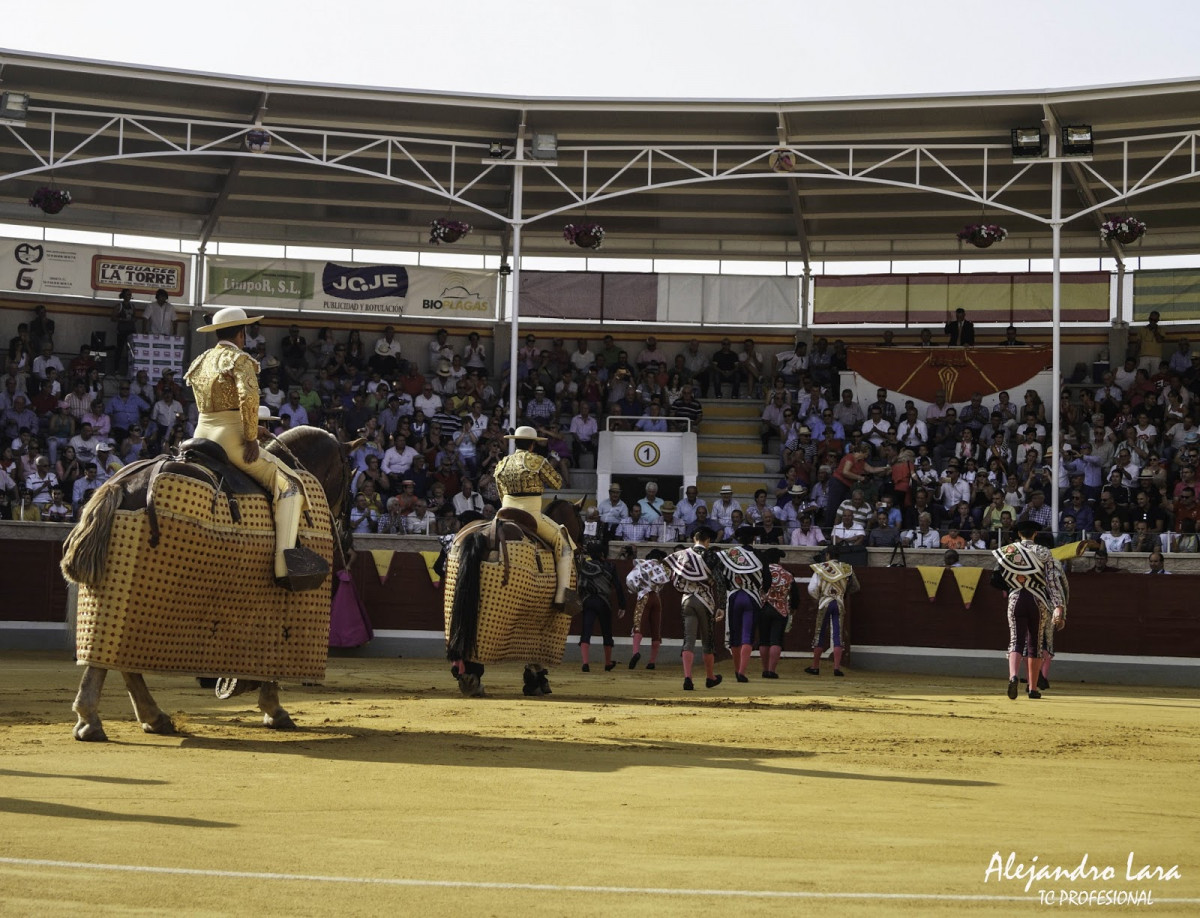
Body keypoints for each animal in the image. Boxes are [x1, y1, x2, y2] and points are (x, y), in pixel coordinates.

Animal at [62, 427, 350, 739]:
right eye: (349, 474)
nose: (346, 544)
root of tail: (119, 486)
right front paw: (274, 710)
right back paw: (99, 720)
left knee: (114, 656)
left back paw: (139, 718)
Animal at [446, 496, 585, 696]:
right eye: (582, 523)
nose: (583, 547)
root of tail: (484, 533)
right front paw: (537, 681)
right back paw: (472, 679)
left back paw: (466, 677)